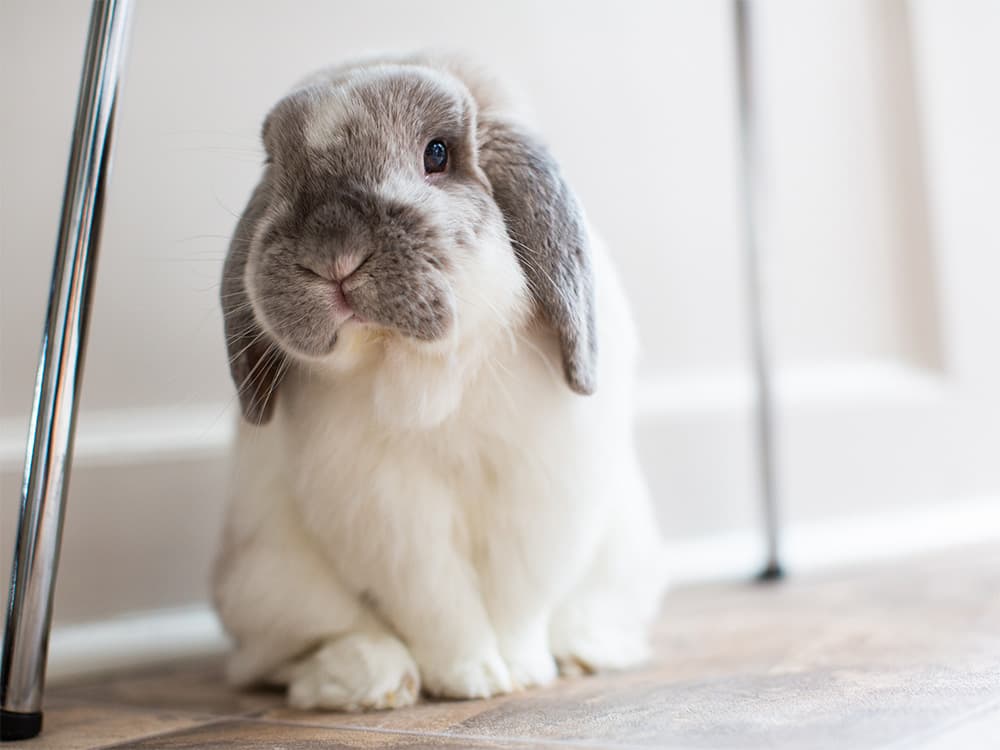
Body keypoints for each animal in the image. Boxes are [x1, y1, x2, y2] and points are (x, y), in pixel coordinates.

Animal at [211, 53, 667, 712]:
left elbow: (516, 600)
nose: (333, 255)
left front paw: (520, 671)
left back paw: (583, 651)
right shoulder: (389, 513)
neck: (417, 371)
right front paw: (472, 678)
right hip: (268, 584)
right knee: (284, 656)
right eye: (277, 167)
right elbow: (436, 603)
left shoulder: (538, 491)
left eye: (438, 154)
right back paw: (371, 681)